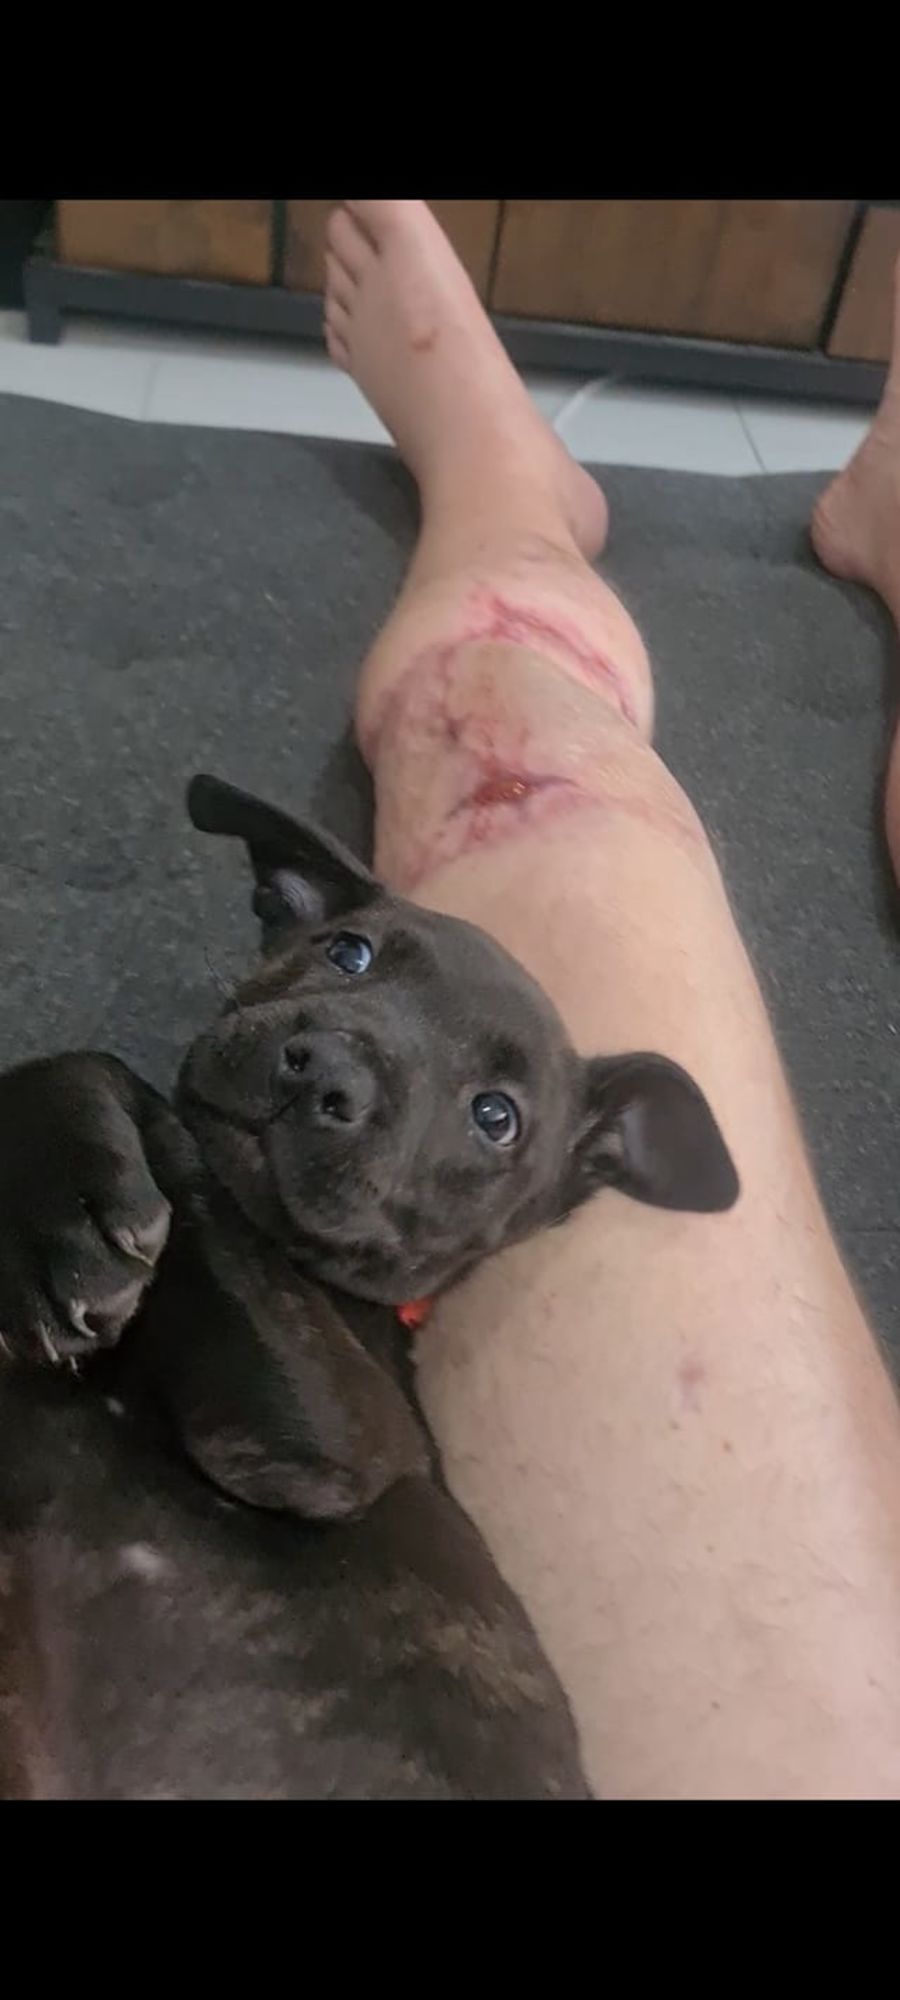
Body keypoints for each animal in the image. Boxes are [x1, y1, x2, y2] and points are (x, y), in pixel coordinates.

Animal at [0, 775, 739, 1799]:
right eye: (345, 953)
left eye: (495, 1118)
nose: (328, 1069)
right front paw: (53, 1210)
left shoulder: (323, 1436)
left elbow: (156, 1113)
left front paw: (72, 1224)